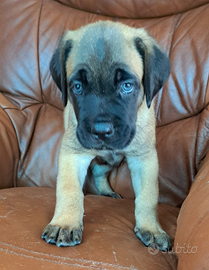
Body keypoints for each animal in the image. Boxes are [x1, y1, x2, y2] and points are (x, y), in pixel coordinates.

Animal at [41, 20, 171, 251]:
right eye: (77, 87)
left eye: (127, 86)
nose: (101, 131)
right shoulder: (73, 153)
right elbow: (69, 189)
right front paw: (65, 223)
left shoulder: (144, 158)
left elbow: (148, 196)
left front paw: (151, 228)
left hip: (112, 160)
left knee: (99, 171)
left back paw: (107, 191)